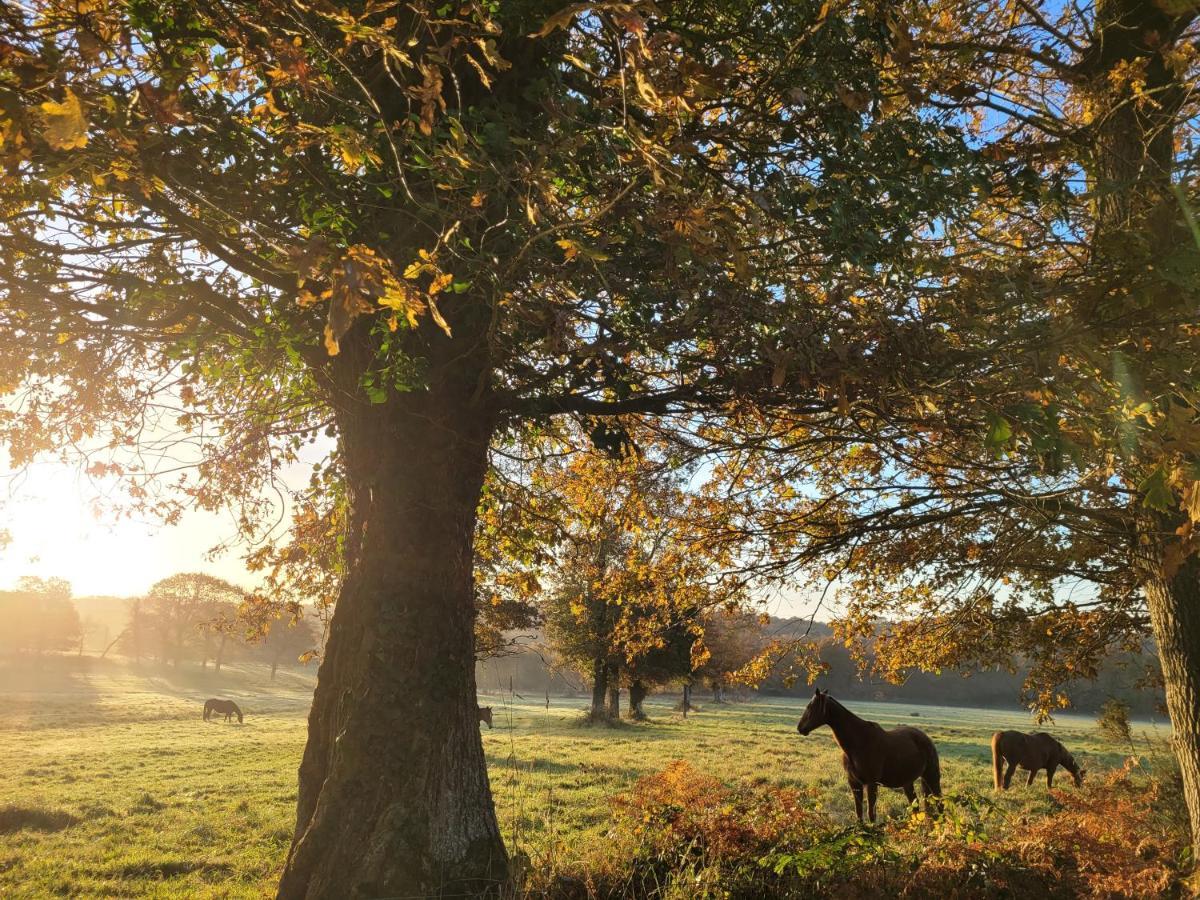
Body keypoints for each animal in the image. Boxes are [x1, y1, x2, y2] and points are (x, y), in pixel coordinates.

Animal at [792, 691, 940, 825]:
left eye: (810, 707)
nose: (800, 728)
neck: (859, 742)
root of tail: (925, 738)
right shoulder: (854, 783)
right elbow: (859, 812)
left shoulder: (871, 783)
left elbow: (871, 814)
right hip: (907, 782)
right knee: (915, 806)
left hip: (930, 776)